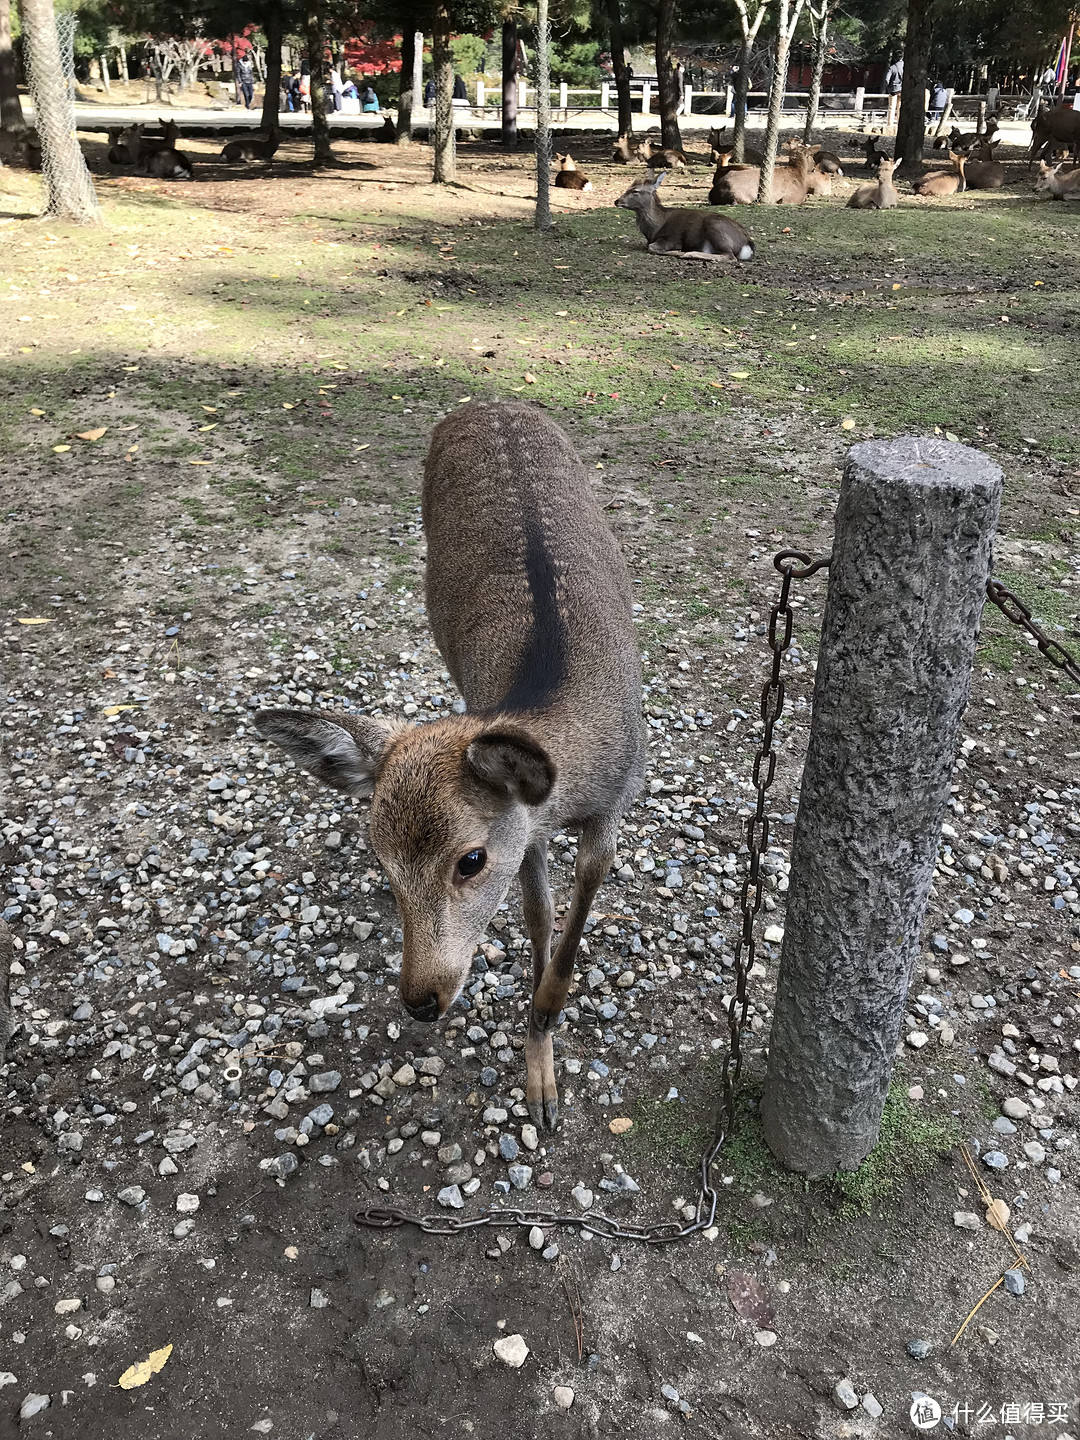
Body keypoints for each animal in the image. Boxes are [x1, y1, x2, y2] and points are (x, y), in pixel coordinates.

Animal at [257, 400, 648, 1128]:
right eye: (379, 859)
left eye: (470, 859)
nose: (419, 1000)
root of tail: (488, 402)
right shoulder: (531, 829)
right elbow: (537, 916)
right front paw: (540, 1076)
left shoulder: (614, 805)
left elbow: (572, 921)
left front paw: (545, 1040)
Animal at [613, 174, 754, 264]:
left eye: (635, 191)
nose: (616, 201)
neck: (654, 229)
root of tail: (748, 245)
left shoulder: (672, 238)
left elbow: (651, 247)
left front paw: (678, 252)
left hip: (715, 226)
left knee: (730, 256)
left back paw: (689, 254)